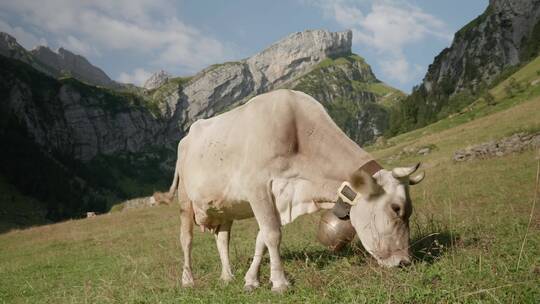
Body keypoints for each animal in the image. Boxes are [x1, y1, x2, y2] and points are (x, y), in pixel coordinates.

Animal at [158, 89, 424, 292]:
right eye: (396, 209)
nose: (405, 262)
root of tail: (186, 137)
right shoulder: (257, 188)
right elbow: (272, 235)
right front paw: (280, 283)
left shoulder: (279, 198)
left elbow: (262, 238)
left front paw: (251, 280)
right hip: (185, 201)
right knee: (186, 240)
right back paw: (188, 280)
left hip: (224, 208)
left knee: (222, 239)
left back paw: (227, 276)